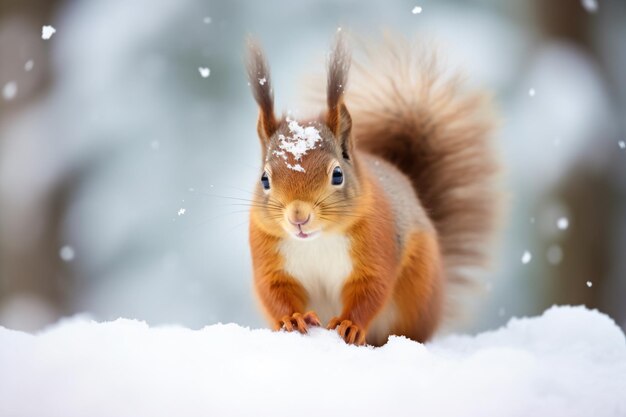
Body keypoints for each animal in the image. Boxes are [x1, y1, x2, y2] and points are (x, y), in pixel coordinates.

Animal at [243, 34, 498, 344]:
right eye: (264, 180)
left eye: (337, 175)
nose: (298, 216)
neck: (317, 241)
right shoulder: (269, 259)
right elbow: (275, 292)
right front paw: (292, 318)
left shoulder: (377, 244)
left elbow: (370, 289)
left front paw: (350, 325)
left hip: (418, 288)